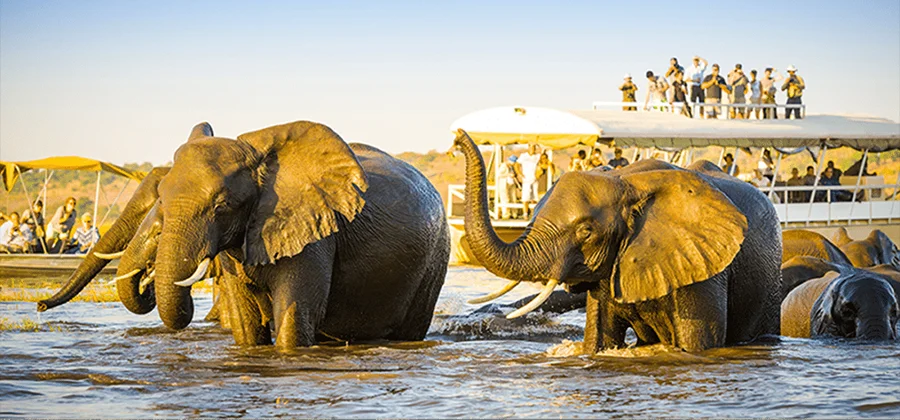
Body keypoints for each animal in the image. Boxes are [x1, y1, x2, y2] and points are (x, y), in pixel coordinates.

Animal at [149, 120, 449, 348]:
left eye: (222, 205)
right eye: (160, 198)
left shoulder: (316, 238)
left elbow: (294, 316)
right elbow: (245, 325)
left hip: (435, 258)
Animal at [453, 129, 782, 353]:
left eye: (586, 231)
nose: (457, 138)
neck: (626, 182)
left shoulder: (703, 267)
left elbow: (698, 342)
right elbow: (599, 338)